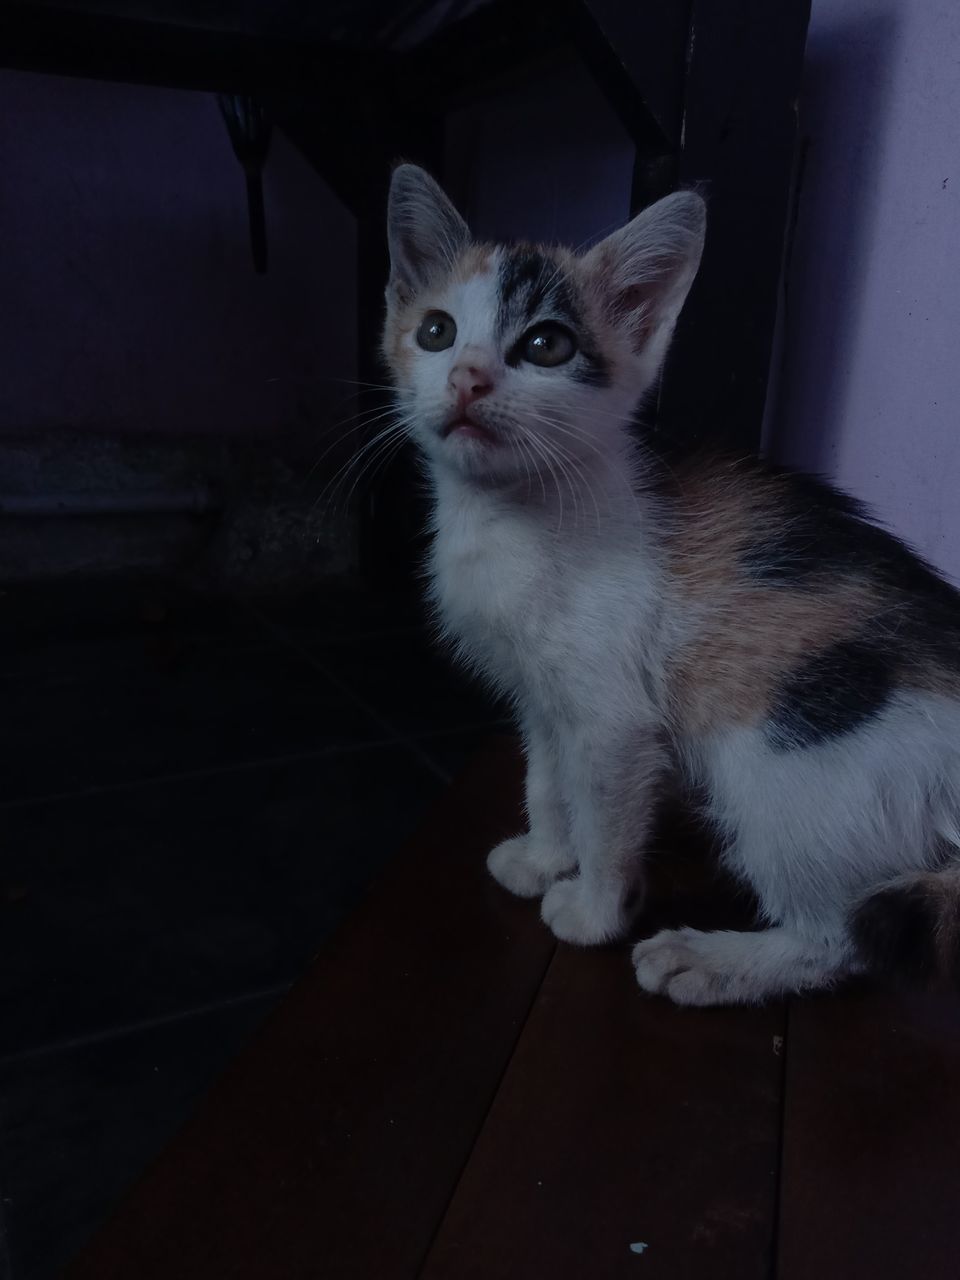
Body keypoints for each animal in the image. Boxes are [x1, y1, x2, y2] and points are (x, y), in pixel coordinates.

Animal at [378, 160, 960, 1003]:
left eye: (546, 345)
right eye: (435, 332)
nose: (467, 378)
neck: (517, 516)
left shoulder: (614, 718)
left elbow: (606, 812)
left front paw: (593, 909)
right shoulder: (542, 697)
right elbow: (547, 778)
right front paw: (544, 854)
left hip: (787, 772)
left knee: (844, 937)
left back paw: (713, 961)